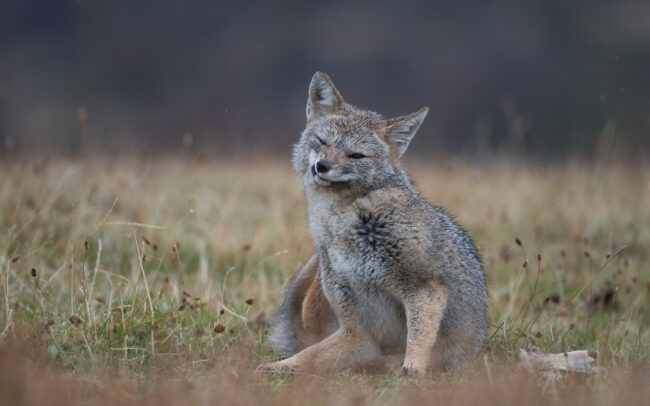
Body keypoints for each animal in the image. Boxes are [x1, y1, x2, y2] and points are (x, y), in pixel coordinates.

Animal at [258, 72, 487, 375]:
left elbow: (419, 339)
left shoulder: (425, 287)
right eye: (322, 141)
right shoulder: (358, 330)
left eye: (356, 155)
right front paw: (277, 367)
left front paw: (412, 370)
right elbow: (308, 356)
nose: (322, 166)